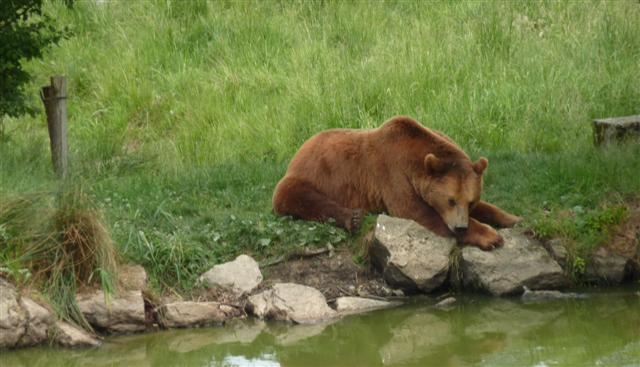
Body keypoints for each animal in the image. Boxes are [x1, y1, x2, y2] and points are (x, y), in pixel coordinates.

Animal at [272, 116, 524, 252]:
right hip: (311, 175)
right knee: (299, 197)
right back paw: (352, 218)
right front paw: (490, 236)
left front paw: (512, 218)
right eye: (450, 200)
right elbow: (416, 210)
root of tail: (302, 146)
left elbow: (489, 207)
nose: (460, 226)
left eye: (470, 201)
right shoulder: (392, 174)